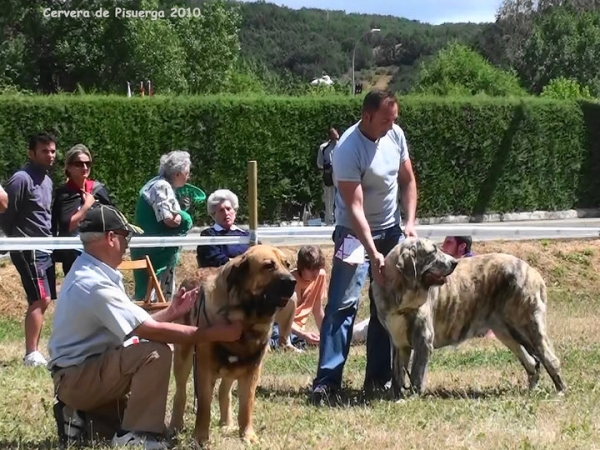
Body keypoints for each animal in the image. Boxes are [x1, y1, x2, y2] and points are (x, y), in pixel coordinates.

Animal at [168, 244, 296, 448]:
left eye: (287, 264)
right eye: (268, 266)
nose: (293, 281)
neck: (245, 317)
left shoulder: (252, 371)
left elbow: (246, 407)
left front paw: (248, 436)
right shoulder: (204, 371)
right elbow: (204, 408)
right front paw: (200, 438)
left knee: (224, 391)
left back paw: (226, 424)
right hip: (183, 358)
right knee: (180, 393)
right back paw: (175, 426)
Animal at [376, 237, 568, 400]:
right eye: (432, 252)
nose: (454, 262)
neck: (400, 291)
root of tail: (532, 270)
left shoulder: (423, 340)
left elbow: (417, 373)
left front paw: (412, 398)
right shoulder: (399, 344)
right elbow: (397, 373)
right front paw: (396, 397)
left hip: (527, 326)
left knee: (549, 359)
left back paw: (560, 391)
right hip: (507, 332)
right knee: (532, 362)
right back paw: (531, 391)